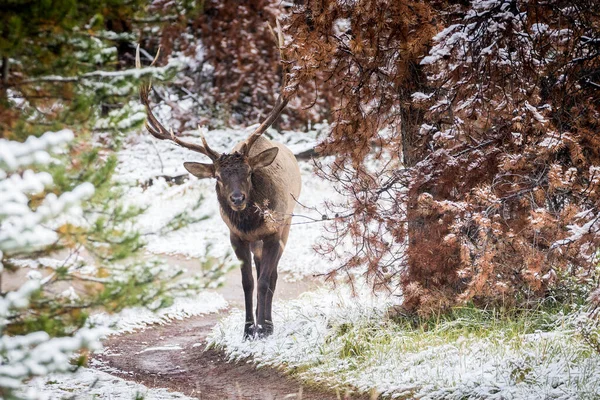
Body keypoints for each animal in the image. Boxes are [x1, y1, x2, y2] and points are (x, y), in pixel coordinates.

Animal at [135, 44, 300, 338]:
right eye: (219, 177)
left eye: (248, 173)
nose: (237, 198)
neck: (251, 224)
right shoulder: (235, 236)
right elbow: (248, 282)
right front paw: (247, 330)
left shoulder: (274, 230)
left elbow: (266, 280)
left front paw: (264, 329)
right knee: (260, 271)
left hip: (287, 225)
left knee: (273, 275)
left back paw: (268, 323)